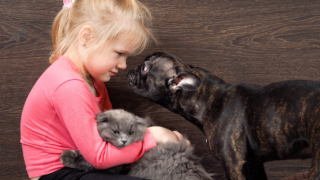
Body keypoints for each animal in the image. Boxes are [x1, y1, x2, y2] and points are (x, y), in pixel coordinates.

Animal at [60, 109, 215, 179]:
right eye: (116, 132)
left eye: (130, 133)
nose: (124, 141)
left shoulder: (113, 165)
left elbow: (87, 163)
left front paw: (65, 157)